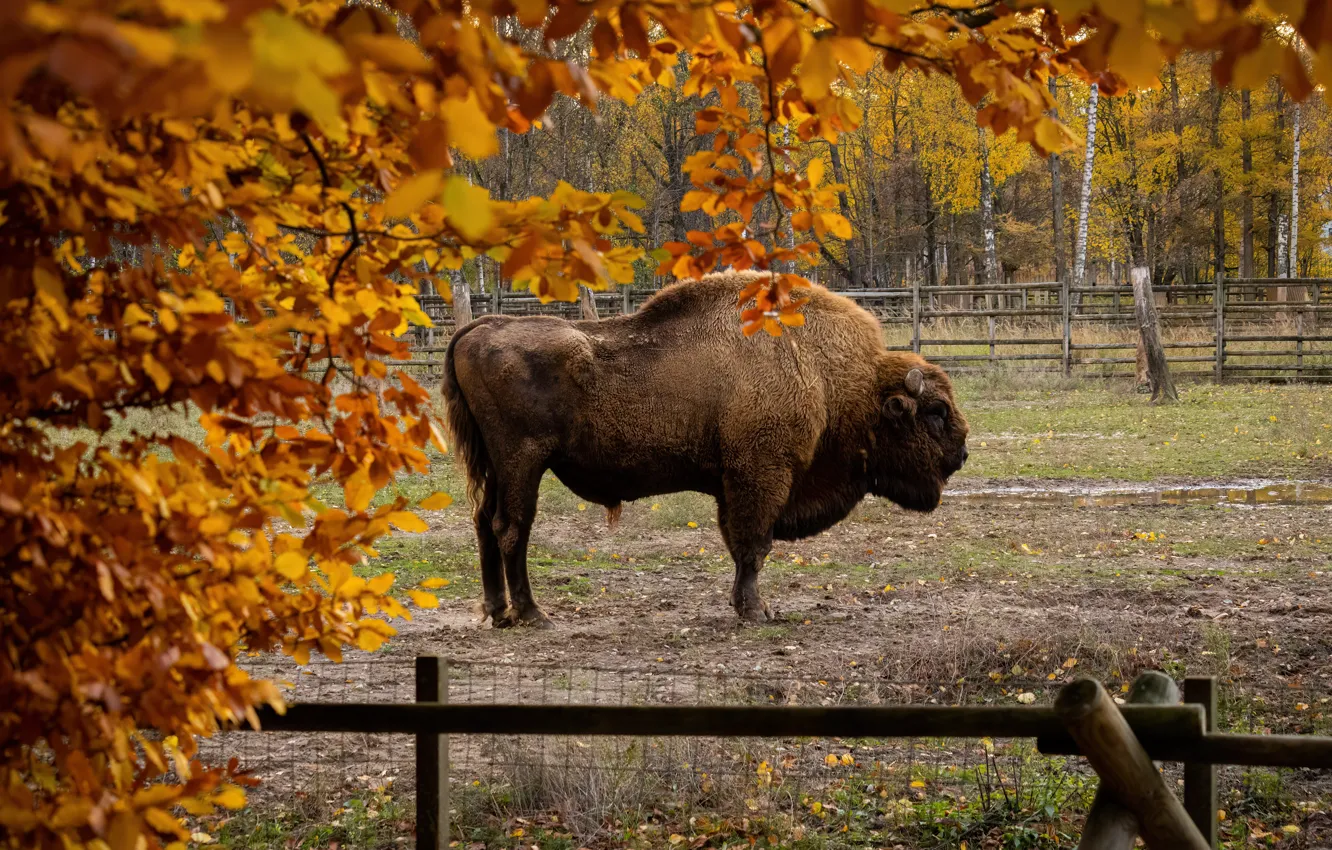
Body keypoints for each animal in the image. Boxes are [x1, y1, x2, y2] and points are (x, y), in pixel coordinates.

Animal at [441, 271, 969, 627]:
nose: (962, 454)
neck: (831, 376)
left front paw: (744, 605)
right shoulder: (761, 476)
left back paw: (496, 611)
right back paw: (533, 614)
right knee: (512, 528)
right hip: (523, 461)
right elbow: (754, 546)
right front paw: (758, 611)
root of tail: (478, 327)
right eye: (936, 411)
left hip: (496, 466)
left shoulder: (732, 484)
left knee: (485, 524)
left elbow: (740, 547)